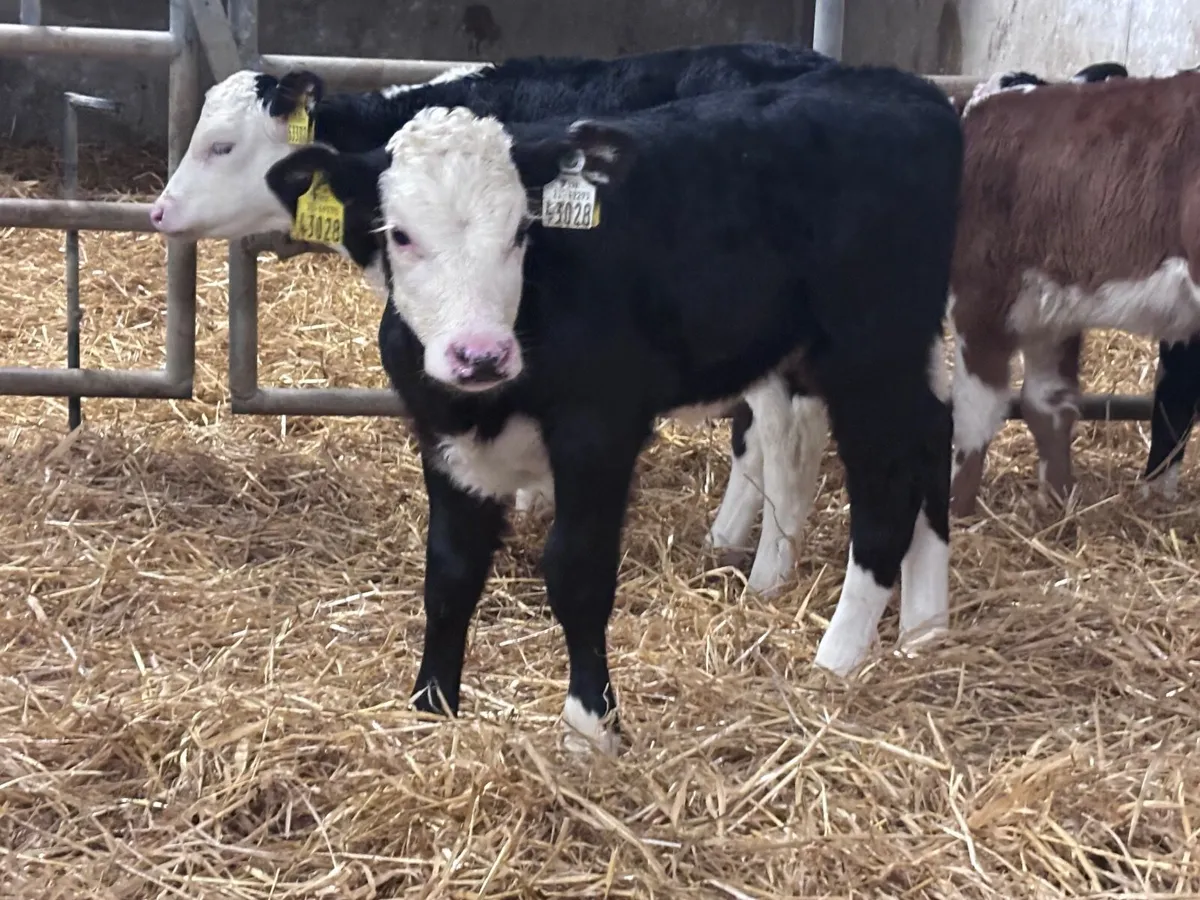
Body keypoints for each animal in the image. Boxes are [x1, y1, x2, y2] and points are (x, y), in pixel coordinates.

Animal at [149, 43, 839, 595]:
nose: (159, 211)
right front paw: (533, 498)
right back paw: (727, 540)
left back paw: (768, 575)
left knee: (785, 435)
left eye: (221, 145)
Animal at [262, 62, 964, 753]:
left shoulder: (598, 431)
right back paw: (924, 628)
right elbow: (450, 571)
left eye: (522, 230)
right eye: (400, 235)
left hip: (868, 352)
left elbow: (576, 569)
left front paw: (590, 727)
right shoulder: (441, 434)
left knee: (886, 487)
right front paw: (431, 709)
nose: (479, 354)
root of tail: (912, 91)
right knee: (933, 436)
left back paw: (837, 658)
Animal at [947, 66, 1200, 516]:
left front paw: (953, 509)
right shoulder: (1050, 310)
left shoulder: (980, 299)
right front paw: (1058, 503)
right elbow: (1046, 405)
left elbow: (975, 414)